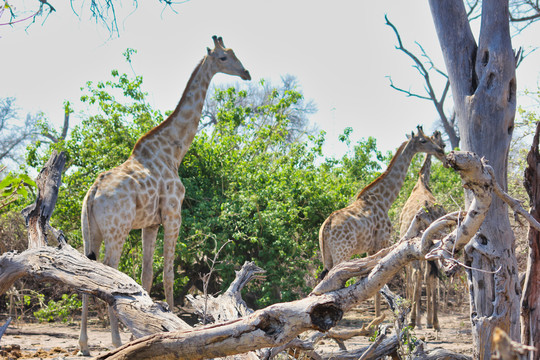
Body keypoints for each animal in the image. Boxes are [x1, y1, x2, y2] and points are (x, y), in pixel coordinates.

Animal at [77, 35, 251, 356]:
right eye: (223, 58)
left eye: (234, 53)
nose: (246, 73)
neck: (174, 150)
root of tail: (92, 192)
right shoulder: (173, 215)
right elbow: (168, 273)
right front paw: (173, 331)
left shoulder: (150, 223)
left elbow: (147, 275)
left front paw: (142, 331)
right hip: (117, 229)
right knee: (110, 271)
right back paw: (114, 341)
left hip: (91, 231)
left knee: (87, 271)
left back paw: (84, 344)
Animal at [318, 126, 446, 316]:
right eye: (424, 140)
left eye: (433, 140)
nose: (440, 150)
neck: (385, 200)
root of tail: (325, 228)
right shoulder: (382, 242)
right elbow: (376, 285)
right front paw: (378, 320)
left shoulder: (370, 249)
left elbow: (373, 286)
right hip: (342, 254)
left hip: (327, 257)